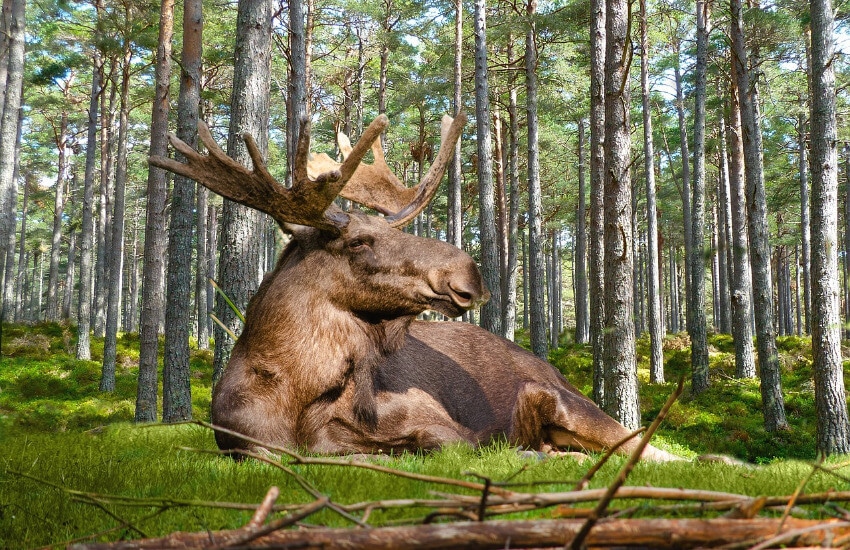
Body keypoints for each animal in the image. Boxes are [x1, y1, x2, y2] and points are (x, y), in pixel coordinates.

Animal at [147, 111, 676, 462]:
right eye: (359, 240)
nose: (470, 274)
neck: (293, 392)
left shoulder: (443, 425)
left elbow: (421, 446)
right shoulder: (243, 442)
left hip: (570, 403)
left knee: (651, 448)